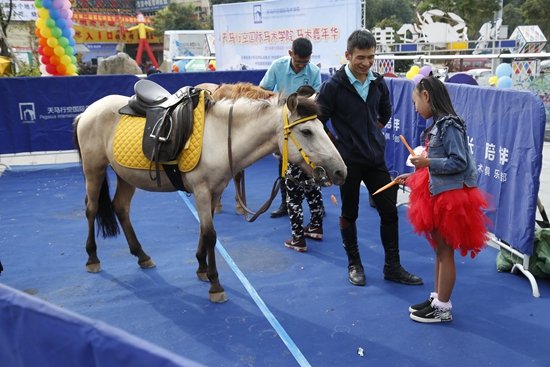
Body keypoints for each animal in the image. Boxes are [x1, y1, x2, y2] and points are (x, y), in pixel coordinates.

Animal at [73, 82, 348, 304]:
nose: (340, 171)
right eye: (307, 131)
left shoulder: (214, 191)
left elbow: (206, 231)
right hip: (94, 169)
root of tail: (87, 112)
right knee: (91, 209)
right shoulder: (203, 191)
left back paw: (141, 255)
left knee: (121, 208)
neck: (219, 137)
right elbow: (210, 234)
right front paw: (215, 284)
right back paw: (92, 257)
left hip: (125, 176)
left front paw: (201, 268)